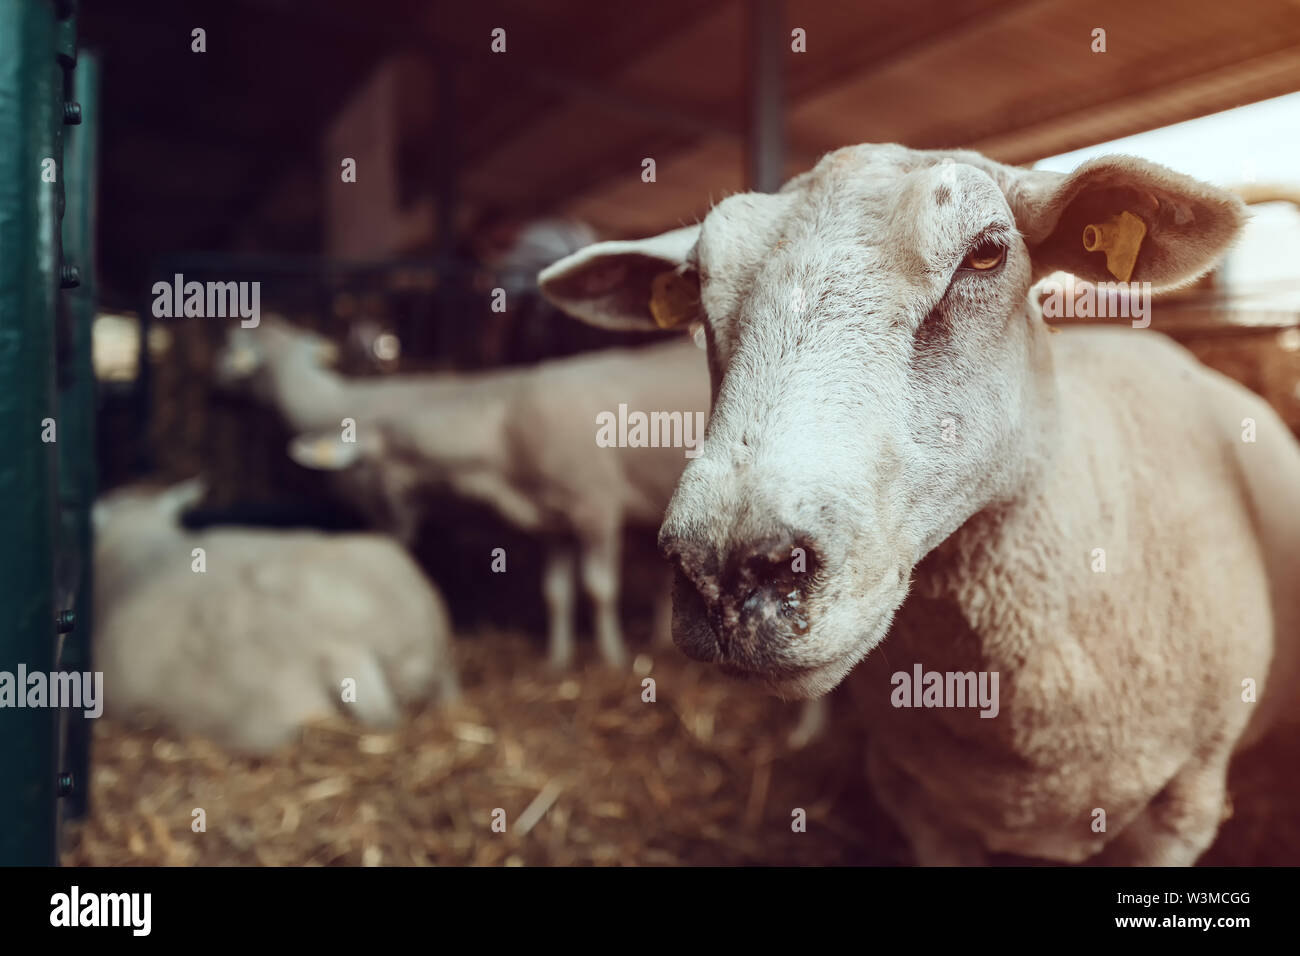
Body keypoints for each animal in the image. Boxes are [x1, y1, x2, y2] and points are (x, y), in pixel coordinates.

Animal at [219, 317, 717, 671]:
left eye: (367, 470)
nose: (392, 535)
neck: (502, 432)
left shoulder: (596, 508)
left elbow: (599, 590)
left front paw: (611, 659)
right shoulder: (550, 521)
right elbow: (556, 594)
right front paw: (557, 661)